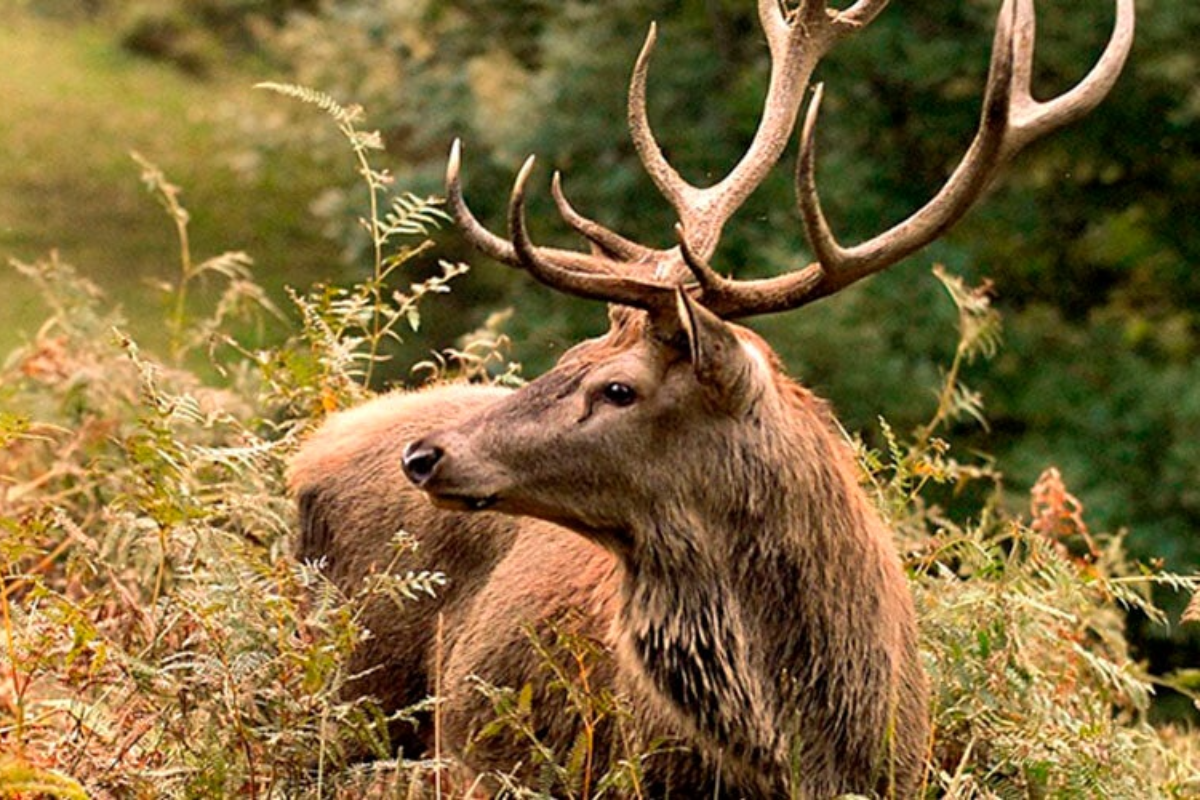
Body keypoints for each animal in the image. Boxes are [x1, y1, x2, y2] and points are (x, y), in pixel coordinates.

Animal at [289, 1, 1133, 796]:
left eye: (616, 387)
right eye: (569, 356)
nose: (425, 455)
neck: (822, 751)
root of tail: (308, 456)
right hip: (343, 689)